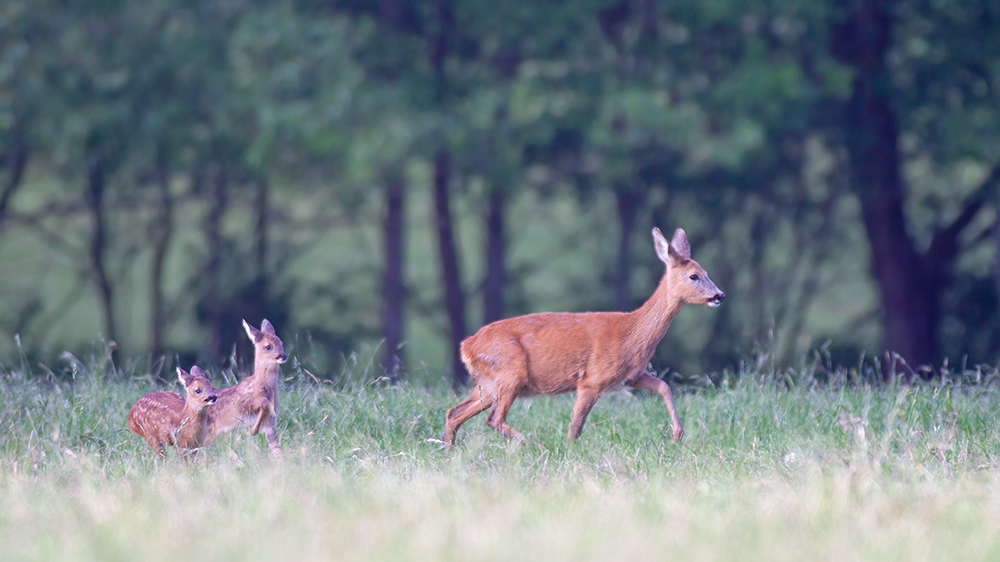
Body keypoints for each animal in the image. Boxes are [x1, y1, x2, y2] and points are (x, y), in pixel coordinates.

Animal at [205, 318, 288, 452]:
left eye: (281, 343)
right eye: (268, 346)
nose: (283, 356)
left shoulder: (271, 424)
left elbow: (278, 450)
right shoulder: (241, 404)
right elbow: (263, 402)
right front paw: (252, 431)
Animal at [446, 225, 728, 444]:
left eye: (707, 273)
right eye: (694, 276)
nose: (720, 295)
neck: (631, 330)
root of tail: (466, 346)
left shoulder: (630, 375)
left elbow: (664, 386)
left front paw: (677, 434)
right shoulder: (592, 379)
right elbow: (576, 425)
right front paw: (569, 451)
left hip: (488, 382)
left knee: (454, 413)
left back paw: (450, 453)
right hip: (510, 372)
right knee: (493, 418)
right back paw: (533, 445)